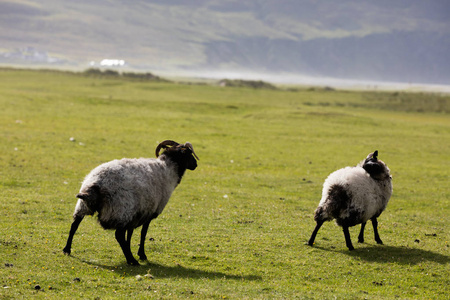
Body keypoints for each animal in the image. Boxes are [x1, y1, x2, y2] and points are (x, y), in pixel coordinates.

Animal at [62, 141, 199, 264]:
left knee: (74, 225)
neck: (168, 167)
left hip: (83, 206)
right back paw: (131, 260)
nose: (196, 164)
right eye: (188, 153)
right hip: (120, 210)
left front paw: (131, 249)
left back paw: (67, 249)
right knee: (118, 235)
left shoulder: (136, 213)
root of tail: (96, 182)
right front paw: (142, 255)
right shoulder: (150, 211)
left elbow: (130, 234)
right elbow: (143, 233)